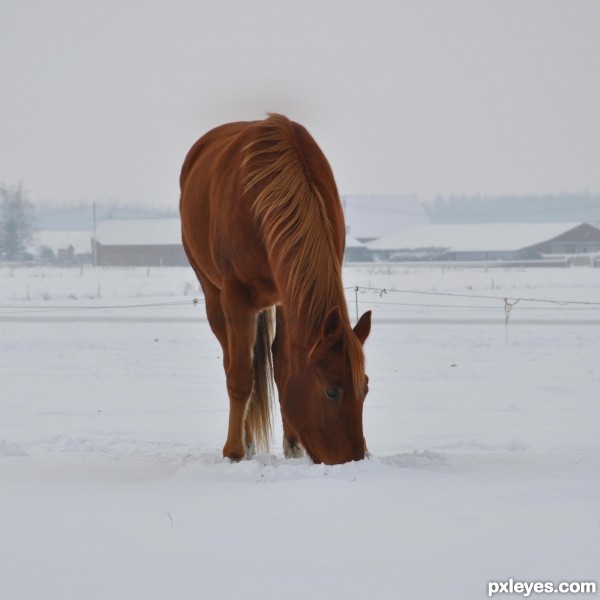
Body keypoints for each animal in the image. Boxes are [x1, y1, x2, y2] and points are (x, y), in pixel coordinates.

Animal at [178, 115, 370, 466]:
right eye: (332, 391)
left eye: (365, 387)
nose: (353, 459)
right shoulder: (236, 297)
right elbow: (240, 376)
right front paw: (234, 451)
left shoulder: (288, 296)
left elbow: (283, 365)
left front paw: (293, 445)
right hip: (214, 297)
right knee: (232, 362)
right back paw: (244, 441)